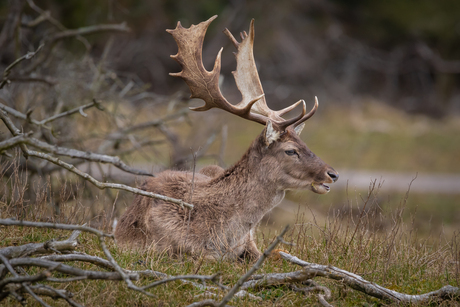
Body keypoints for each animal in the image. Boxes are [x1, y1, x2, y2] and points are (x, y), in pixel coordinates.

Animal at [115, 15, 338, 262]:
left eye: (304, 143)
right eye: (291, 150)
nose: (333, 174)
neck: (222, 234)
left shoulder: (250, 242)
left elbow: (281, 253)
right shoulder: (172, 250)